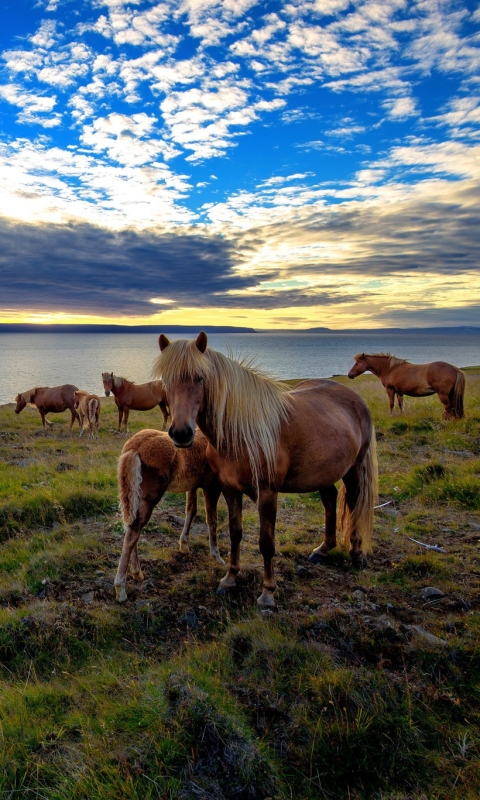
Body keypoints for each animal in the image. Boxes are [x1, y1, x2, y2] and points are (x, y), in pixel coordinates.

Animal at [114, 428, 225, 604]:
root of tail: (134, 448)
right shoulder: (212, 487)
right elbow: (212, 520)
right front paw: (217, 557)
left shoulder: (193, 485)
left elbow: (191, 510)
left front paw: (184, 545)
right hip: (149, 497)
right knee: (133, 531)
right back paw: (121, 589)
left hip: (133, 495)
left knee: (131, 527)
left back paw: (137, 573)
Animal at [152, 330, 376, 608]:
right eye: (165, 380)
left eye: (199, 377)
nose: (181, 433)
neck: (239, 434)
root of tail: (355, 399)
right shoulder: (230, 489)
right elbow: (235, 533)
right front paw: (230, 579)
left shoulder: (267, 493)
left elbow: (266, 543)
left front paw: (268, 592)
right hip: (323, 473)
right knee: (330, 500)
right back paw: (323, 549)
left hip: (354, 469)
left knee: (355, 504)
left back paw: (357, 554)